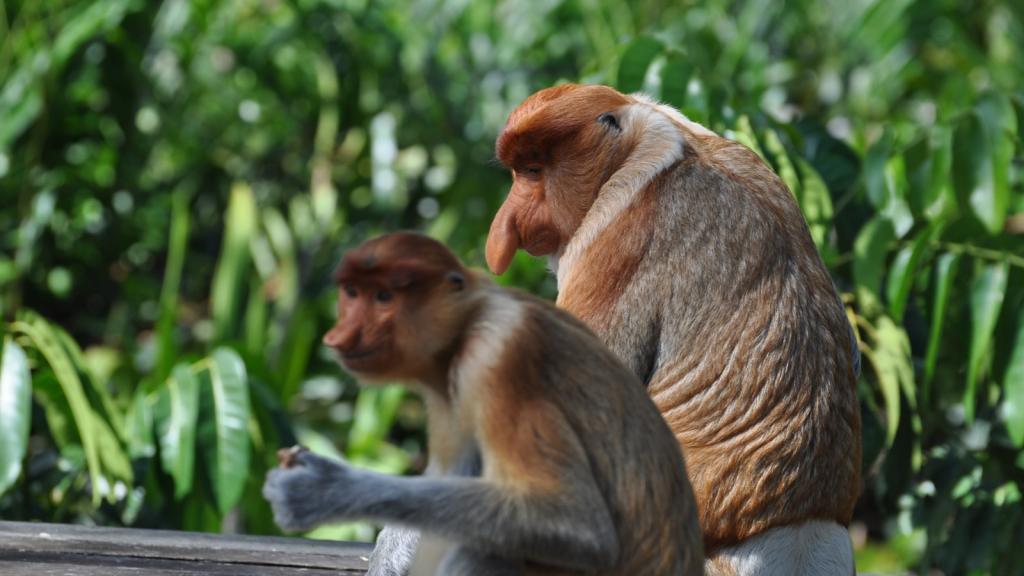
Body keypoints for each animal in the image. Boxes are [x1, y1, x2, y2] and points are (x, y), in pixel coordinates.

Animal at [264, 229, 704, 573]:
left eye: (384, 298)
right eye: (351, 294)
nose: (339, 336)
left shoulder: (495, 361)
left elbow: (577, 522)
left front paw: (319, 489)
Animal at [483, 83, 860, 569]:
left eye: (533, 171)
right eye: (518, 172)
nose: (507, 224)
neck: (647, 138)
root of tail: (802, 523)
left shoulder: (615, 239)